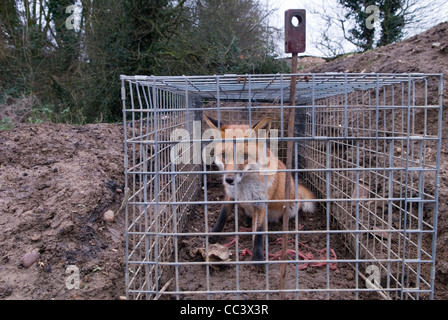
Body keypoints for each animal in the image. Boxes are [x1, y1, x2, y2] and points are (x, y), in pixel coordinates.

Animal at [203, 115, 316, 262]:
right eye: (224, 155)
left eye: (245, 156)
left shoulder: (261, 203)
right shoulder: (230, 195)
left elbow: (259, 232)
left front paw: (257, 255)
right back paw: (247, 219)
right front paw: (213, 234)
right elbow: (222, 216)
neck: (243, 187)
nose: (229, 179)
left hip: (290, 208)